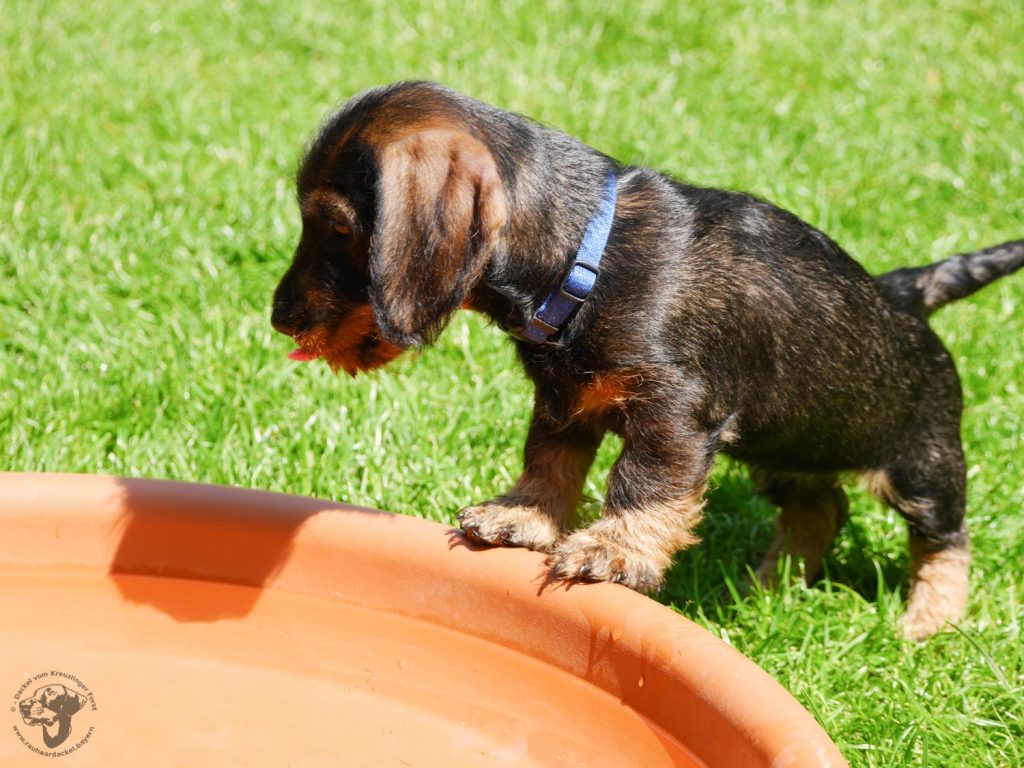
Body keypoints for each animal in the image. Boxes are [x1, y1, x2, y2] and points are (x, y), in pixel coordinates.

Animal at [272, 81, 1024, 638]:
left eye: (336, 227)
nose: (279, 316)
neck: (587, 254)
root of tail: (903, 293)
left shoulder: (674, 412)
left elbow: (642, 481)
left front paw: (614, 549)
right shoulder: (562, 401)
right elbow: (550, 463)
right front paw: (524, 518)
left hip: (921, 464)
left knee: (945, 539)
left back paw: (929, 621)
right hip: (788, 451)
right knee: (821, 507)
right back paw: (767, 588)